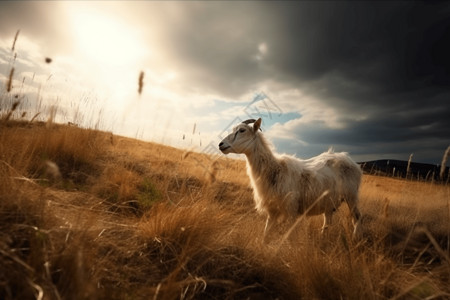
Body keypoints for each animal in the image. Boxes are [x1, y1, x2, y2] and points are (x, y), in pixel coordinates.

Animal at [218, 118, 362, 240]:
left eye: (242, 130)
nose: (221, 144)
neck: (274, 169)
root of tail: (349, 159)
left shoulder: (291, 209)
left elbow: (290, 237)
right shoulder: (272, 210)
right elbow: (266, 235)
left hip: (351, 196)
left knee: (356, 218)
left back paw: (355, 239)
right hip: (329, 202)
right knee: (327, 221)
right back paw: (323, 238)